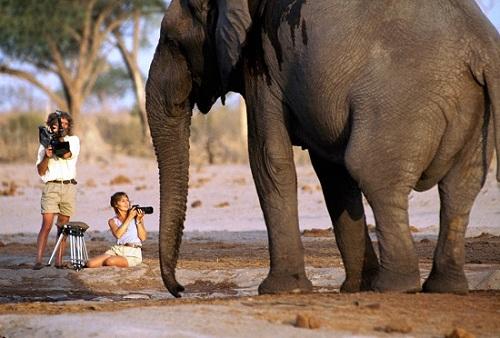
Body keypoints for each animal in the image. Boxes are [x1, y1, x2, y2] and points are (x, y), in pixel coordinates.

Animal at [146, 0, 500, 298]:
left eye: (171, 42)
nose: (180, 290)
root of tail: (482, 49)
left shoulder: (262, 61)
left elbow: (267, 159)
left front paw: (281, 290)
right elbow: (333, 177)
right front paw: (354, 287)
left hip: (402, 103)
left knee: (376, 177)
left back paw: (394, 287)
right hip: (473, 110)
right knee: (459, 190)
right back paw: (444, 288)